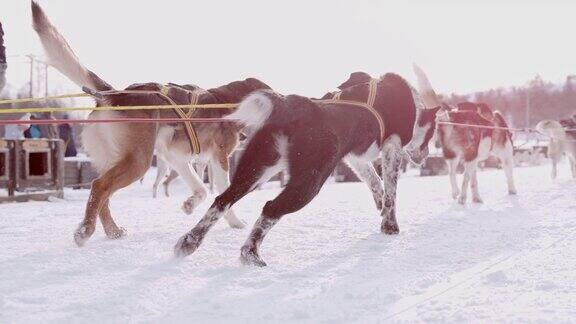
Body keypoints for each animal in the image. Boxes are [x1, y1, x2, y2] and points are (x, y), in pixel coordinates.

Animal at [173, 71, 438, 266]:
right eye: (432, 134)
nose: (425, 156)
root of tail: (290, 104)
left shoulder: (356, 157)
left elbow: (375, 184)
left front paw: (381, 207)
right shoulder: (392, 148)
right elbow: (391, 192)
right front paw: (390, 225)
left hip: (255, 171)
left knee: (222, 200)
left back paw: (189, 241)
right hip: (310, 181)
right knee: (270, 209)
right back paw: (250, 253)